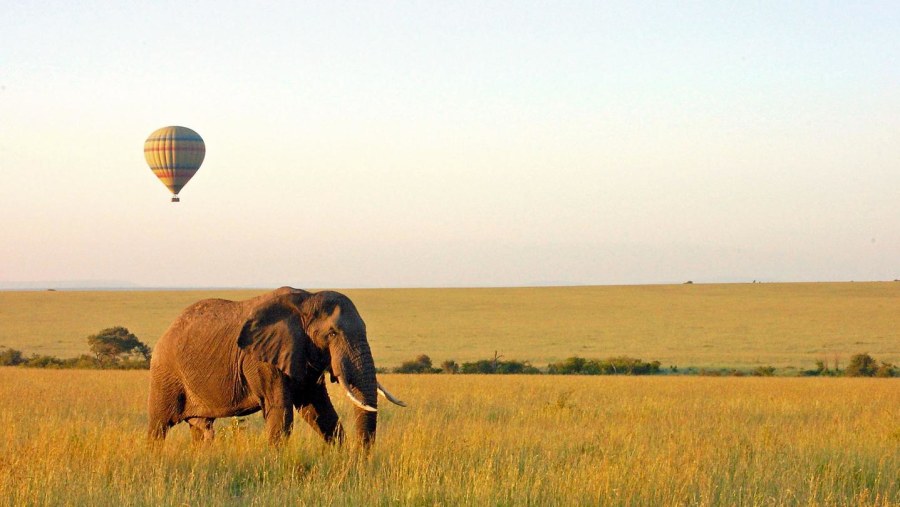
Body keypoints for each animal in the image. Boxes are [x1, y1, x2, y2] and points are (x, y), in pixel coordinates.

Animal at [147, 288, 404, 446]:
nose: (358, 458)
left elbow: (319, 410)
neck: (307, 300)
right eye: (331, 333)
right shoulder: (262, 361)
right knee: (159, 426)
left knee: (202, 429)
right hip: (166, 373)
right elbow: (281, 411)